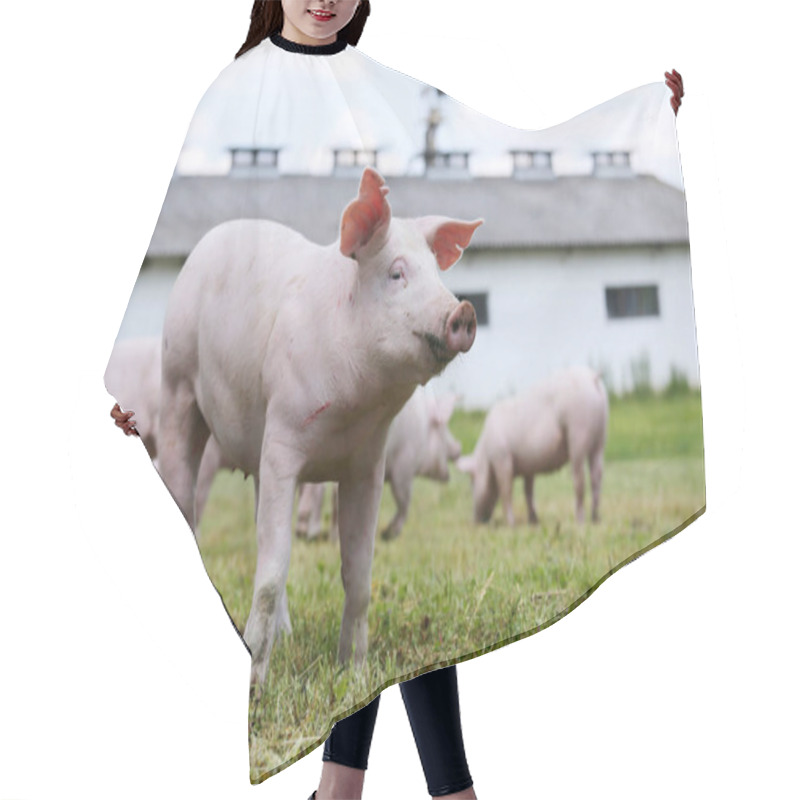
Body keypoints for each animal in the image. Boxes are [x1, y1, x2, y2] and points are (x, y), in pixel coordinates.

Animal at [157, 167, 482, 680]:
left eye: (437, 273)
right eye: (396, 273)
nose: (464, 311)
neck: (353, 412)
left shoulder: (367, 464)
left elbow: (359, 572)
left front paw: (354, 674)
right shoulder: (284, 440)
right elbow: (272, 573)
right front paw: (257, 682)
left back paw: (288, 636)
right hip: (177, 385)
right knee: (189, 500)